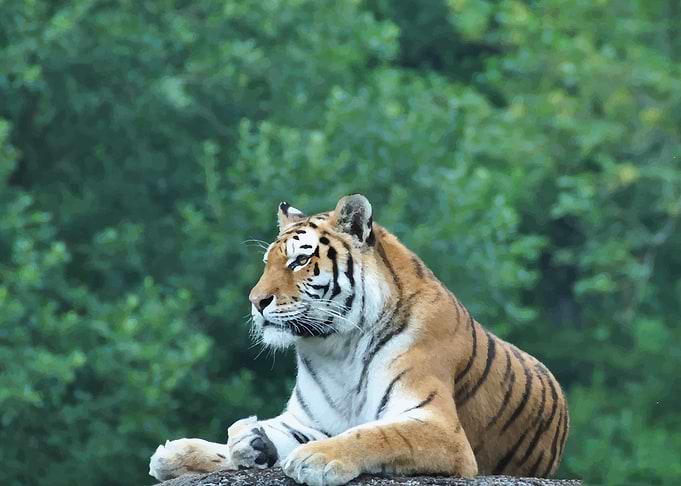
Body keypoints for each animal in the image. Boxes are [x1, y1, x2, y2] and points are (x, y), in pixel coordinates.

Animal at [149, 194, 570, 486]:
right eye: (267, 263)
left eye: (299, 260)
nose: (256, 301)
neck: (336, 348)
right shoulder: (310, 419)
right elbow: (245, 438)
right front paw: (184, 452)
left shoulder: (439, 426)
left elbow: (380, 434)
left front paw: (314, 458)